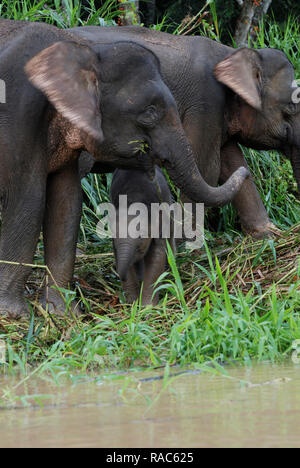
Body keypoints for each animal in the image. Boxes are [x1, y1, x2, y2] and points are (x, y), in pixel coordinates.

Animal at [71, 24, 300, 238]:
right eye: (291, 107)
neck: (231, 53)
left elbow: (231, 164)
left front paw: (267, 234)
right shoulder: (205, 103)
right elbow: (207, 167)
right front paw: (185, 243)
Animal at [110, 166, 176, 306]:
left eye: (141, 237)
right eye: (113, 236)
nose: (121, 277)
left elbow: (157, 255)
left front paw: (147, 306)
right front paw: (133, 303)